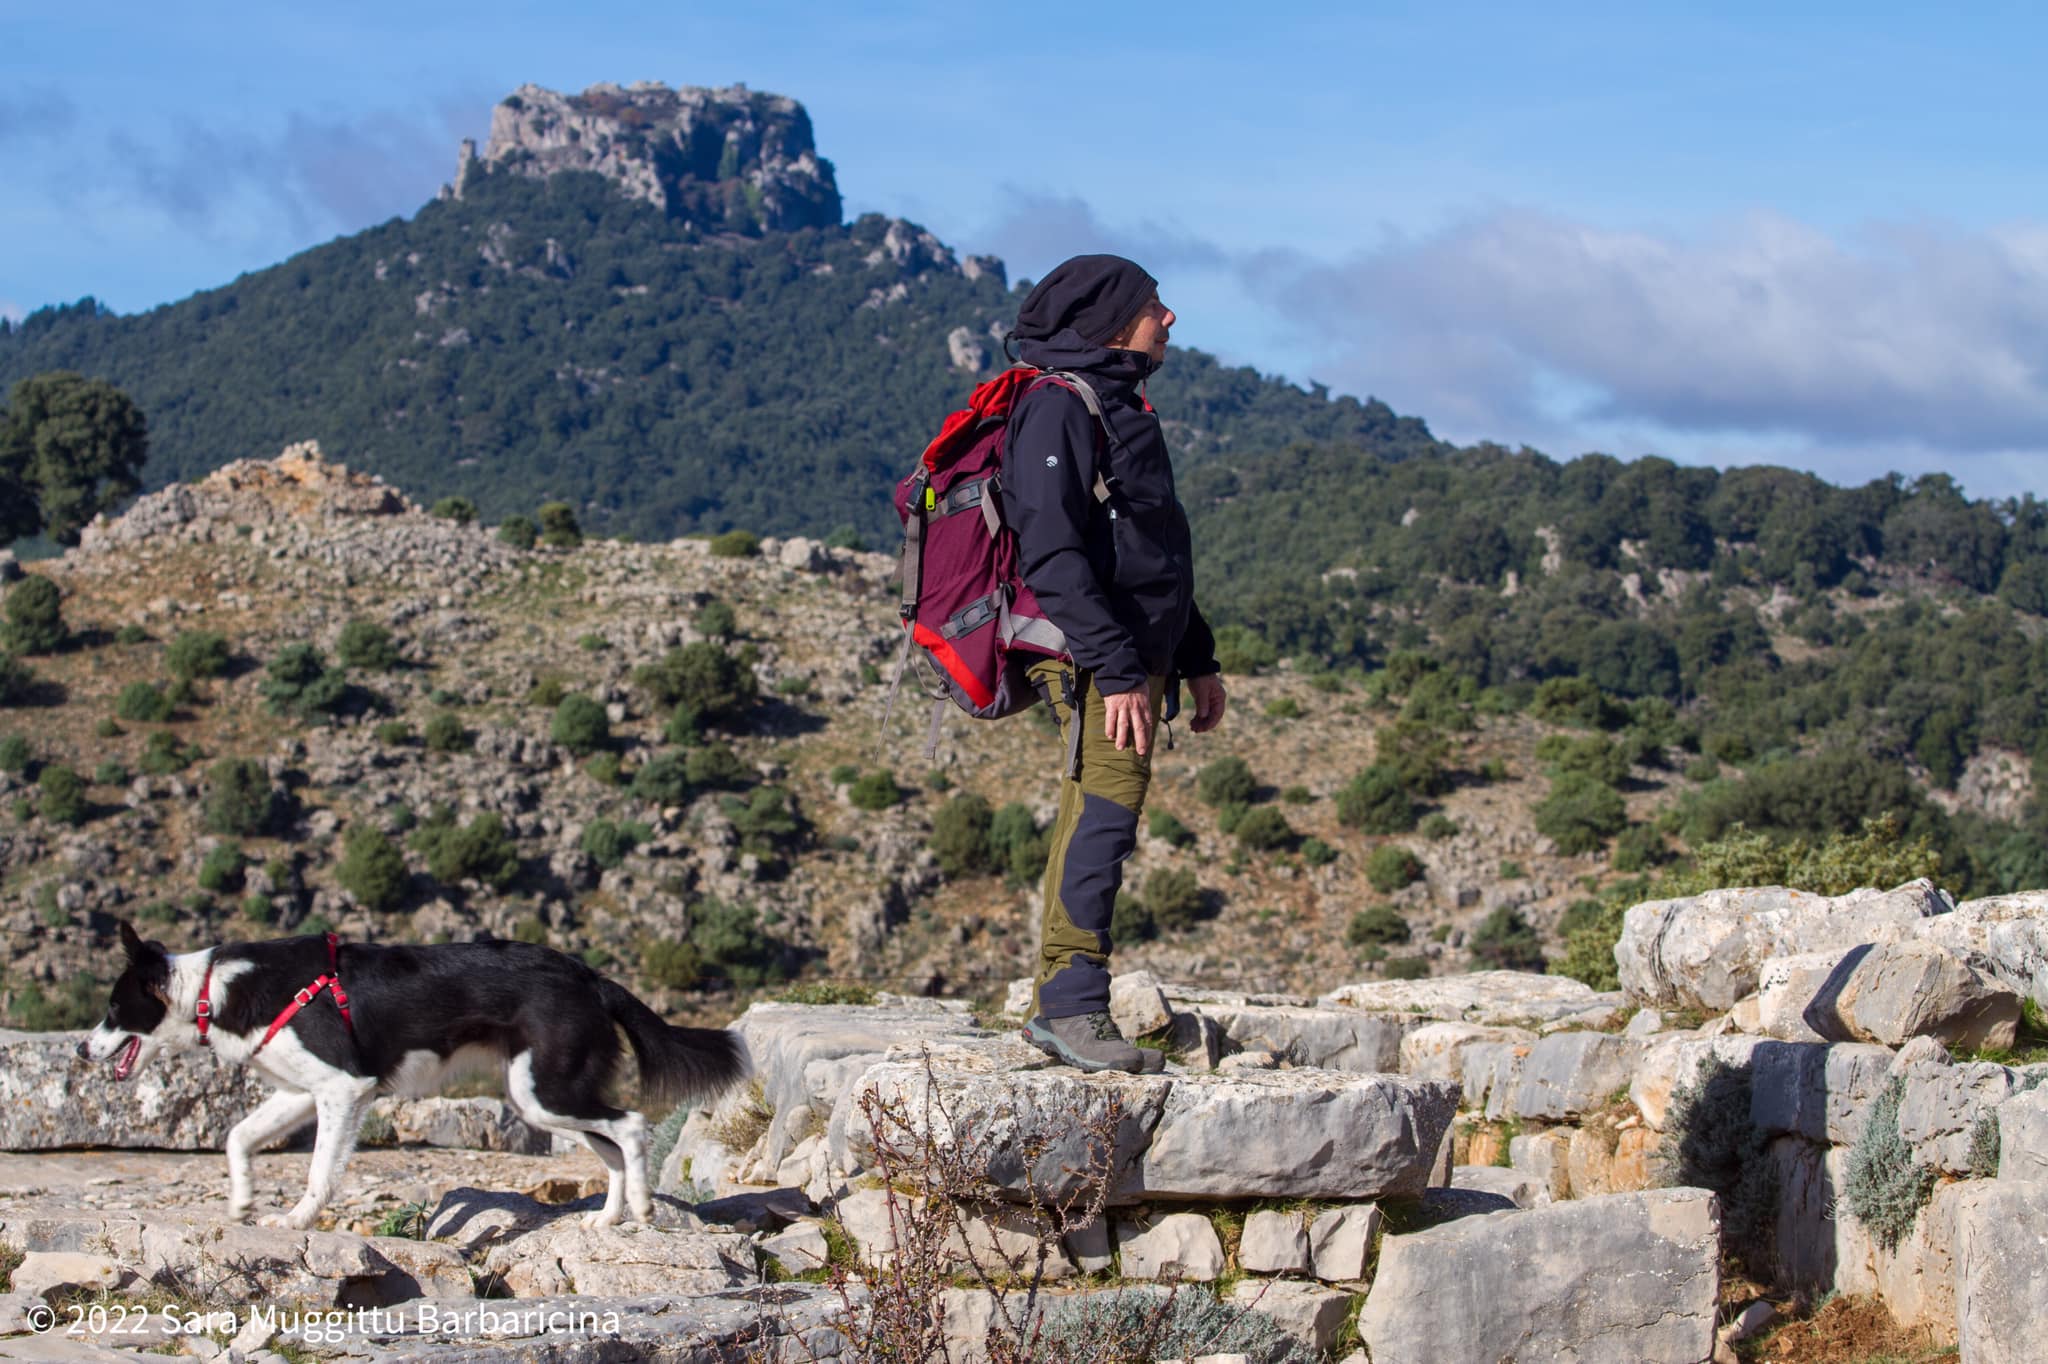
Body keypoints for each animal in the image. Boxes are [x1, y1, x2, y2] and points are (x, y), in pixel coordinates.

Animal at [83, 917, 753, 1228]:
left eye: (114, 1009)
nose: (84, 1051)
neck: (211, 990)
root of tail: (589, 975)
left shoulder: (344, 1088)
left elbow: (319, 1171)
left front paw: (298, 1218)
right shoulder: (304, 1091)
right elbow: (237, 1137)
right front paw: (245, 1200)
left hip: (547, 1090)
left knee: (632, 1124)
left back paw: (638, 1207)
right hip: (544, 1094)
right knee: (611, 1143)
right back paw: (609, 1217)